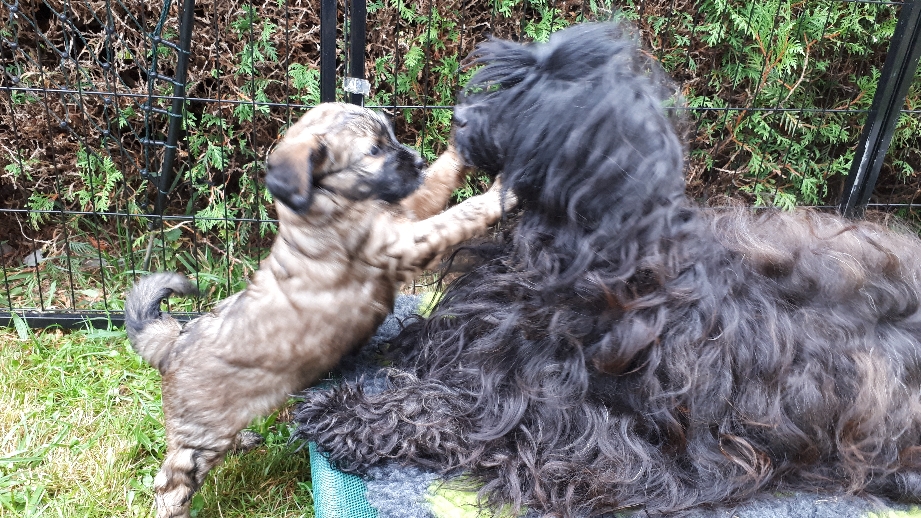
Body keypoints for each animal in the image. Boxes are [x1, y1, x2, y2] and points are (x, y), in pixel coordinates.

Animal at [124, 102, 516, 518]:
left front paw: (462, 146)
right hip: (200, 437)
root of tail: (173, 343)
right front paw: (500, 194)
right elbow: (457, 217)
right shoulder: (399, 244)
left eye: (392, 136)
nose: (418, 161)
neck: (325, 202)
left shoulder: (407, 210)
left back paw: (244, 439)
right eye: (373, 151)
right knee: (172, 481)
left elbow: (439, 182)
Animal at [292, 22, 920, 516]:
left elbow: (461, 408)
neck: (594, 254)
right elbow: (428, 335)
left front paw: (355, 413)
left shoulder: (577, 428)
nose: (460, 116)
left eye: (533, 96)